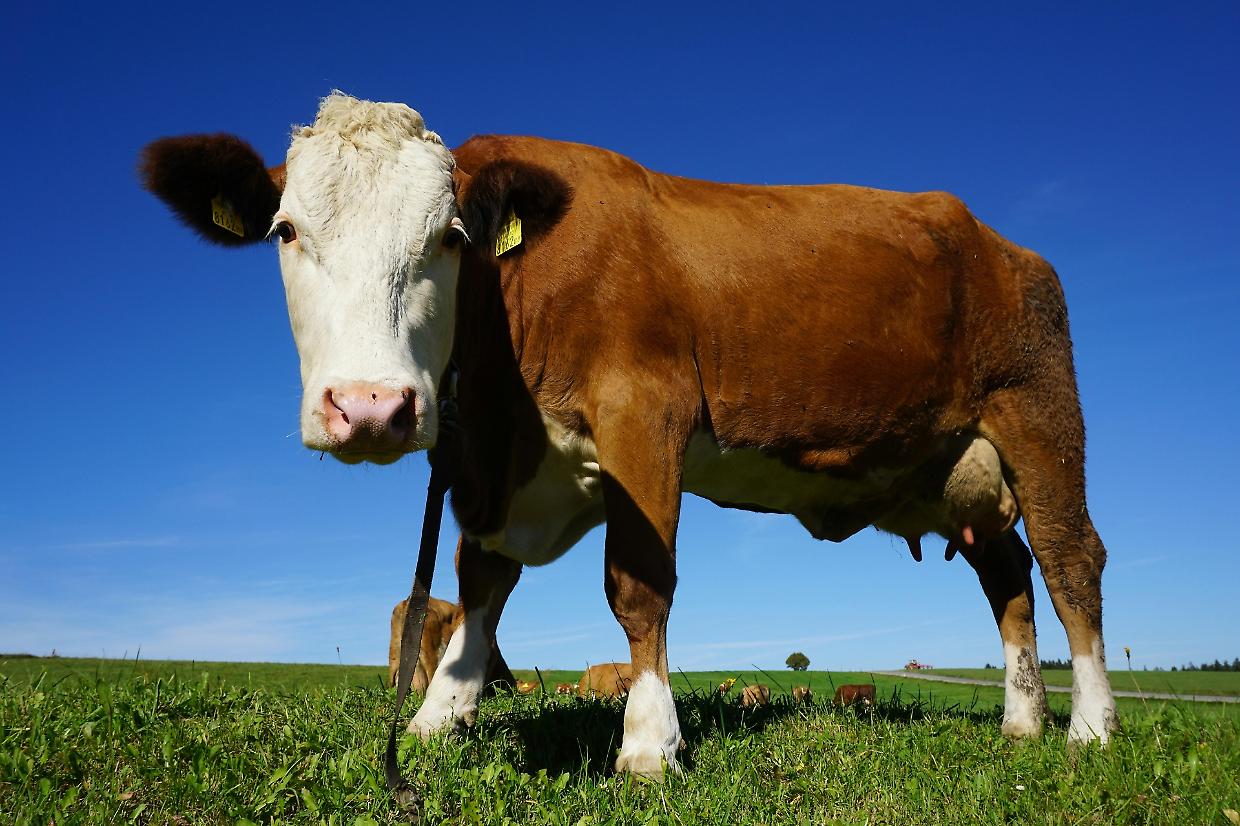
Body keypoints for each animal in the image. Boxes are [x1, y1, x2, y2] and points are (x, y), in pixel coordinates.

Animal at [141, 93, 1118, 778]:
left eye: (449, 237)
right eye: (285, 230)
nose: (373, 407)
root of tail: (1002, 244)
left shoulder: (644, 414)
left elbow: (637, 587)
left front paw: (650, 743)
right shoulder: (498, 467)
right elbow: (480, 584)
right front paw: (437, 718)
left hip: (1038, 414)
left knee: (1071, 562)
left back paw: (1091, 728)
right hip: (952, 468)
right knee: (1008, 577)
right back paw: (1021, 724)